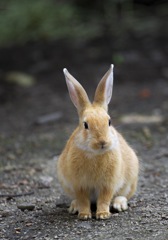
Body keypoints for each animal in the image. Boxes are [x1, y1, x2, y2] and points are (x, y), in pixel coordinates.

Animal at [57, 64, 138, 220]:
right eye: (85, 125)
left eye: (109, 122)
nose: (102, 142)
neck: (95, 154)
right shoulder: (79, 185)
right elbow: (83, 199)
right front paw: (84, 215)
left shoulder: (108, 184)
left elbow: (104, 198)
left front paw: (102, 214)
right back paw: (74, 206)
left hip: (130, 180)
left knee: (124, 195)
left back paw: (119, 204)